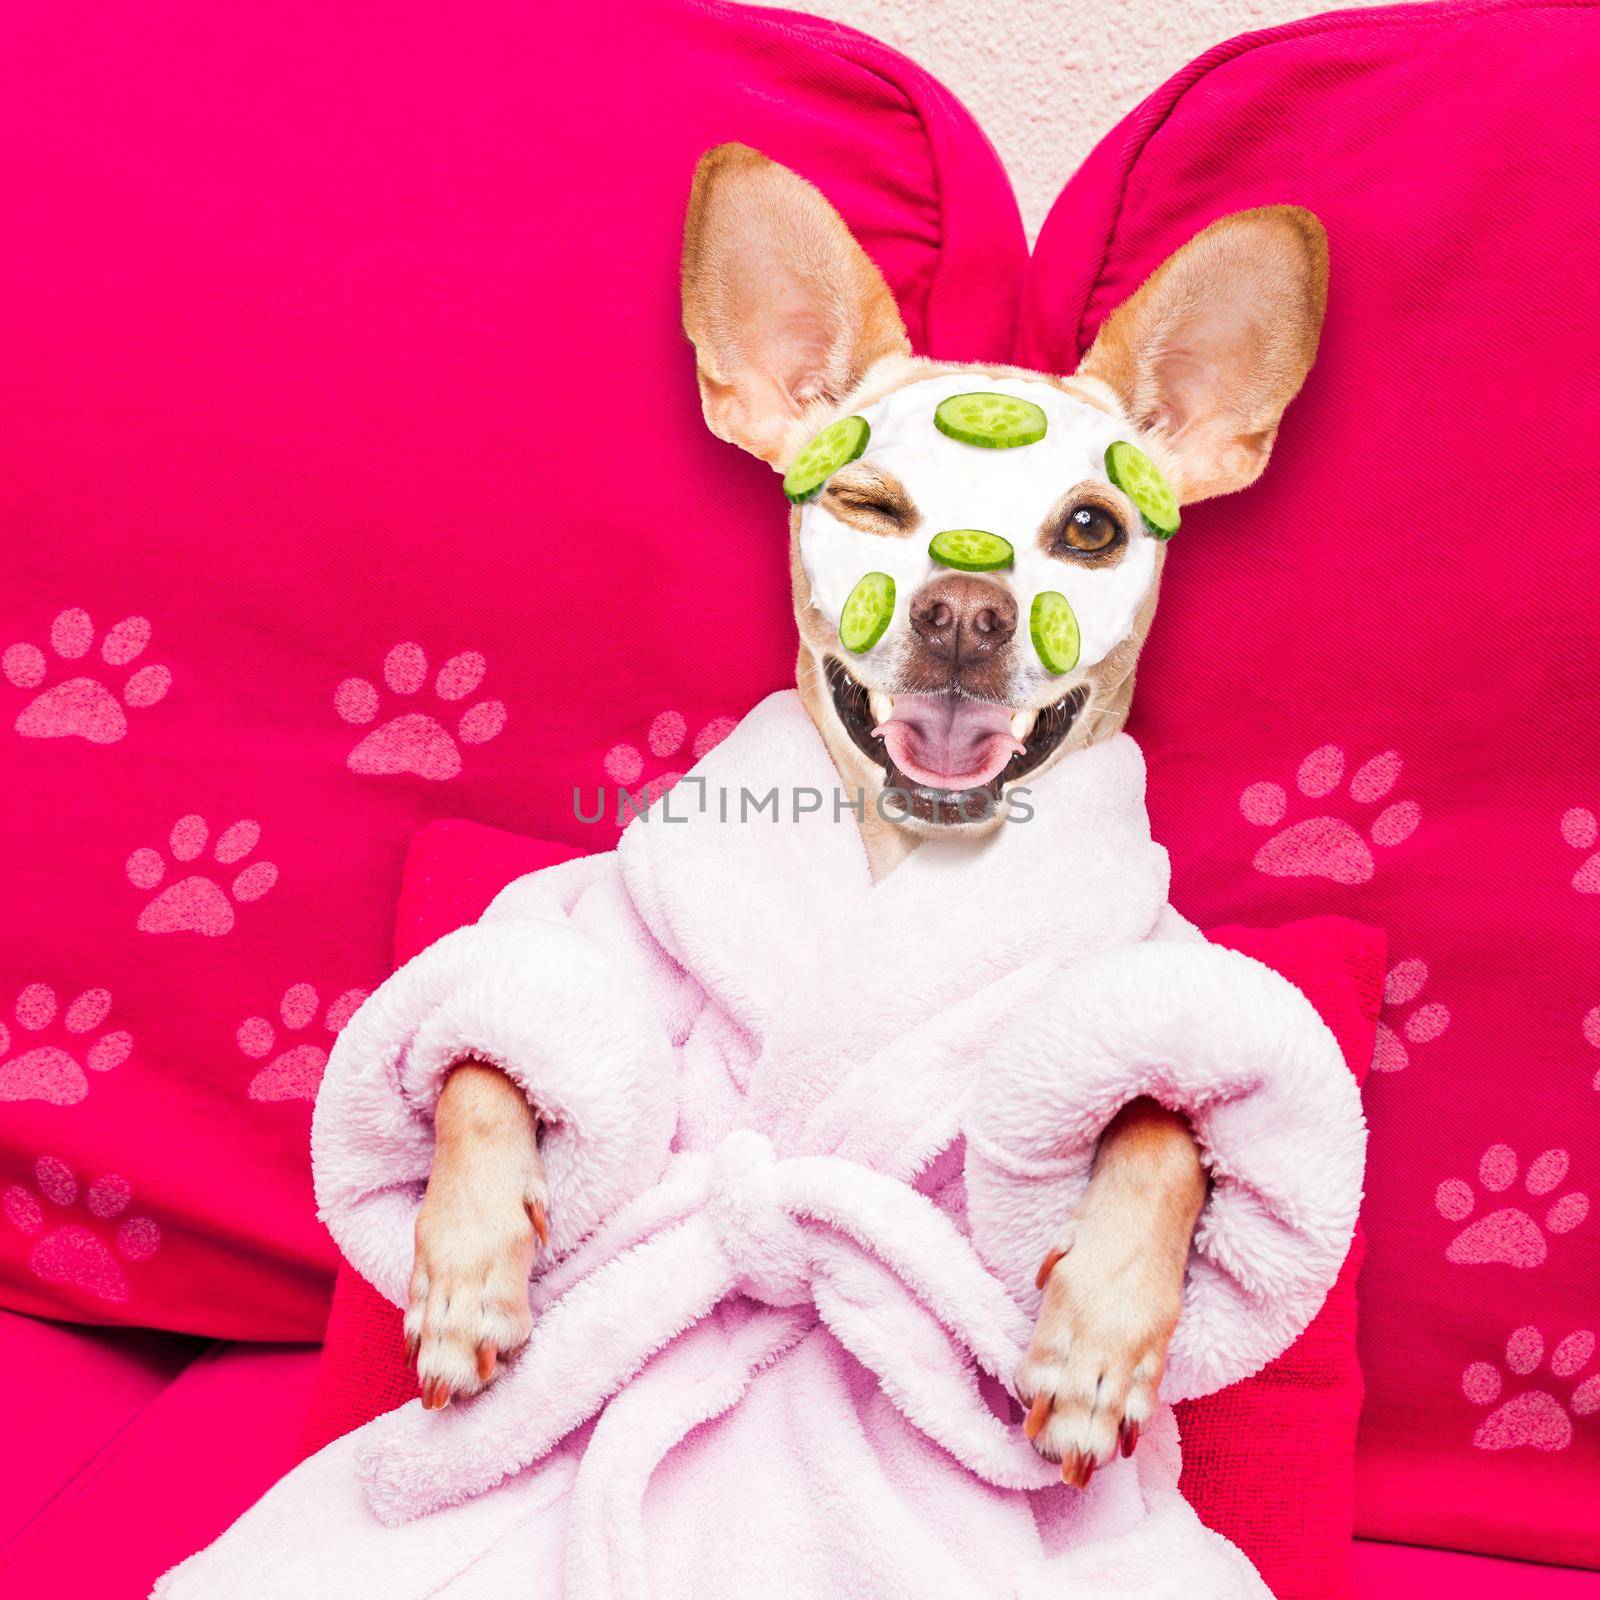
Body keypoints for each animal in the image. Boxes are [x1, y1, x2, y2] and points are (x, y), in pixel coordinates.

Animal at [400, 140, 1324, 1484]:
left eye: (1089, 528)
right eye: (873, 507)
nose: (964, 610)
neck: (906, 851)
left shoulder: (1153, 989)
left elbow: (1162, 1124)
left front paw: (1097, 1335)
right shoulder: (580, 944)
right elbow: (489, 1050)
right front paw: (467, 1267)